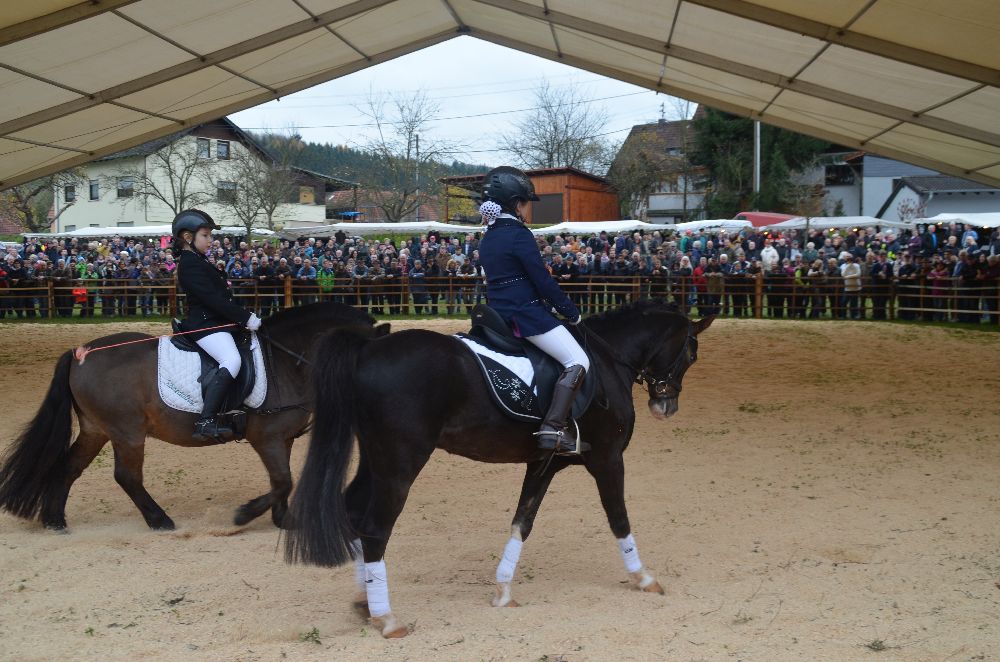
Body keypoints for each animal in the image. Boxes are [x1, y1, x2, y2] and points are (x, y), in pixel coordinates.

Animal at [0, 302, 386, 532]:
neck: (287, 361)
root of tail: (80, 353)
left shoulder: (284, 438)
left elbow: (284, 481)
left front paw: (284, 519)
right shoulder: (267, 438)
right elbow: (282, 481)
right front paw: (245, 514)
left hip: (97, 429)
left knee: (70, 467)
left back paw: (55, 520)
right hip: (127, 431)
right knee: (127, 476)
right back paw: (159, 520)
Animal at [285, 299, 713, 637]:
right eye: (691, 354)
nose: (665, 406)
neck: (609, 361)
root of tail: (368, 349)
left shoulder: (544, 463)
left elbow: (522, 522)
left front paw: (504, 591)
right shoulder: (607, 458)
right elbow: (618, 518)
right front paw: (644, 577)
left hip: (376, 460)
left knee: (354, 511)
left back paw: (365, 603)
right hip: (400, 464)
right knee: (375, 527)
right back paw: (388, 618)